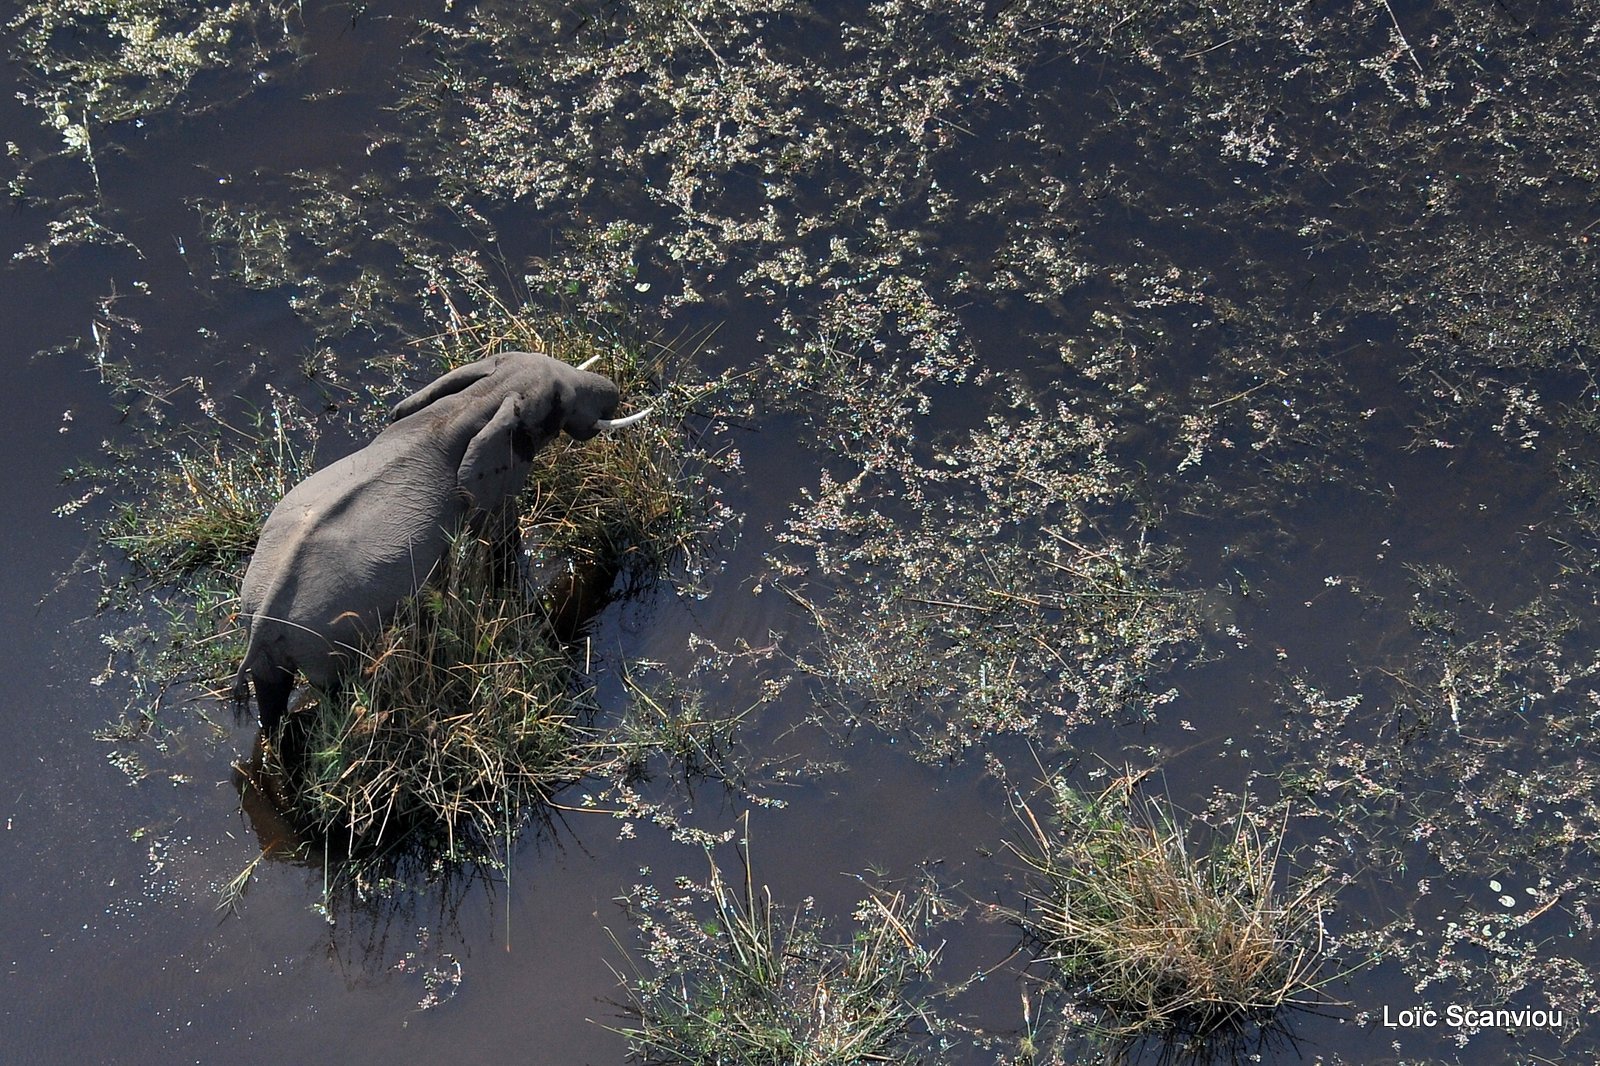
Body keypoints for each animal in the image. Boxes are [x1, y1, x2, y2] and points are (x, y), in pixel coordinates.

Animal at [230, 348, 649, 729]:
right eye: (558, 402)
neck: (479, 398)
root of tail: (261, 619)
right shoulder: (490, 485)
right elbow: (499, 539)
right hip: (327, 643)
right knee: (334, 690)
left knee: (272, 693)